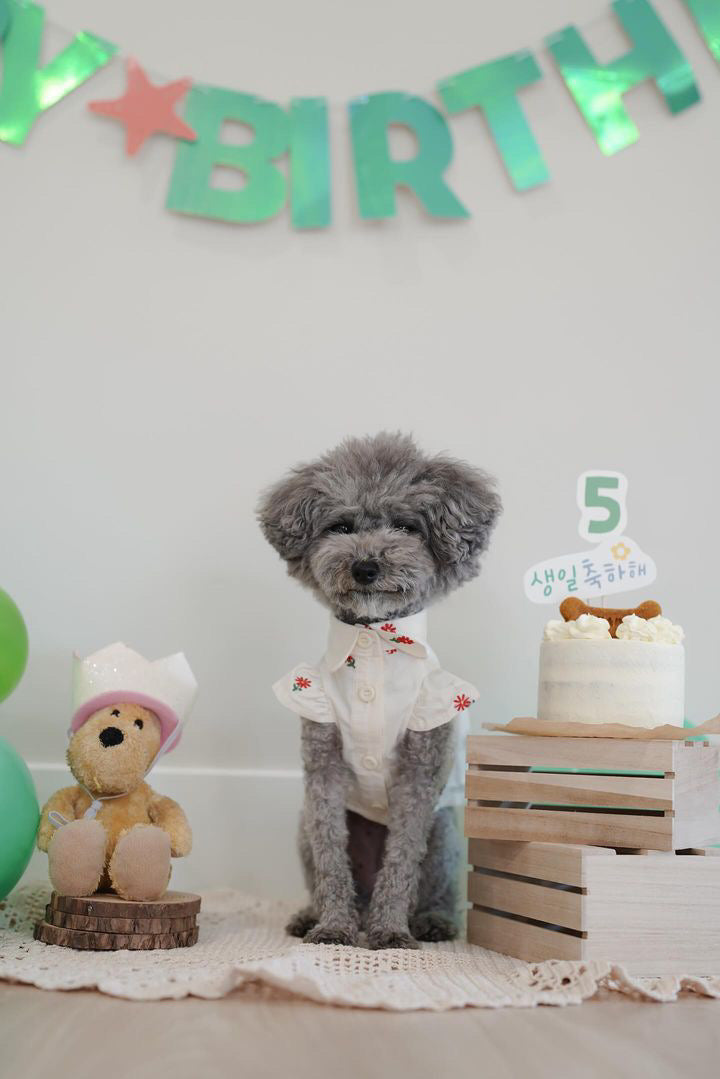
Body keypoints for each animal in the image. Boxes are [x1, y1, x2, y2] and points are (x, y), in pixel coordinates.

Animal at [259, 433, 500, 949]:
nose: (365, 566)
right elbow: (331, 857)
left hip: (445, 833)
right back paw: (315, 915)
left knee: (434, 887)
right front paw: (333, 927)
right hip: (303, 827)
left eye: (406, 526)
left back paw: (427, 921)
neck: (373, 639)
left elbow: (402, 859)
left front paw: (390, 932)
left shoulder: (419, 772)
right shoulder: (323, 769)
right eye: (341, 526)